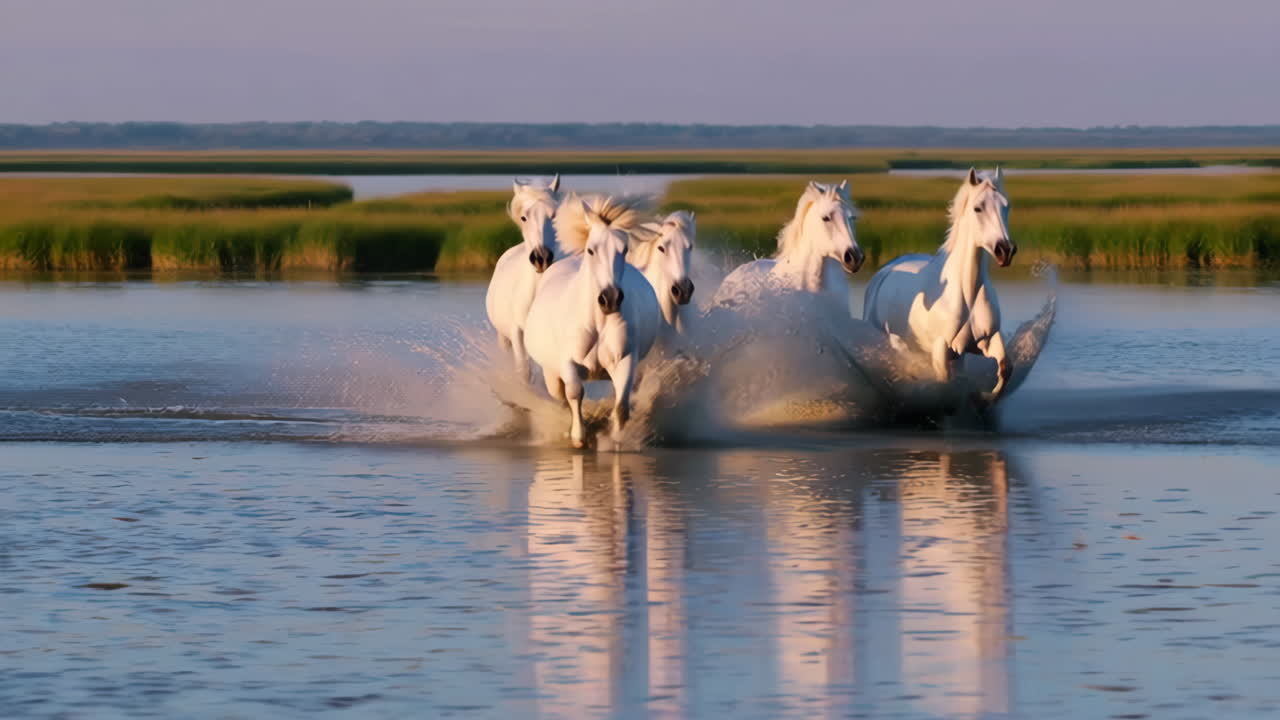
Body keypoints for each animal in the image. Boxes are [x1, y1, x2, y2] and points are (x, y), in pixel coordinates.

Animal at [484, 175, 563, 377]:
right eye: (524, 217)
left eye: (554, 216)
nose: (541, 258)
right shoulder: (517, 333)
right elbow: (524, 370)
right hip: (503, 337)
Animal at [524, 196, 661, 448]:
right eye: (591, 250)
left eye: (624, 250)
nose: (610, 299)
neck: (597, 322)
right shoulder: (568, 363)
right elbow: (575, 394)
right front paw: (579, 438)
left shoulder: (625, 360)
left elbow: (621, 405)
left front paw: (615, 440)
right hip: (551, 375)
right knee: (561, 399)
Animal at [862, 167, 1017, 402]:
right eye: (978, 208)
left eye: (1006, 206)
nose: (1005, 250)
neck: (966, 294)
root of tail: (884, 271)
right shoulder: (940, 350)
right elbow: (945, 384)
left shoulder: (987, 340)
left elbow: (1006, 369)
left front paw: (981, 396)